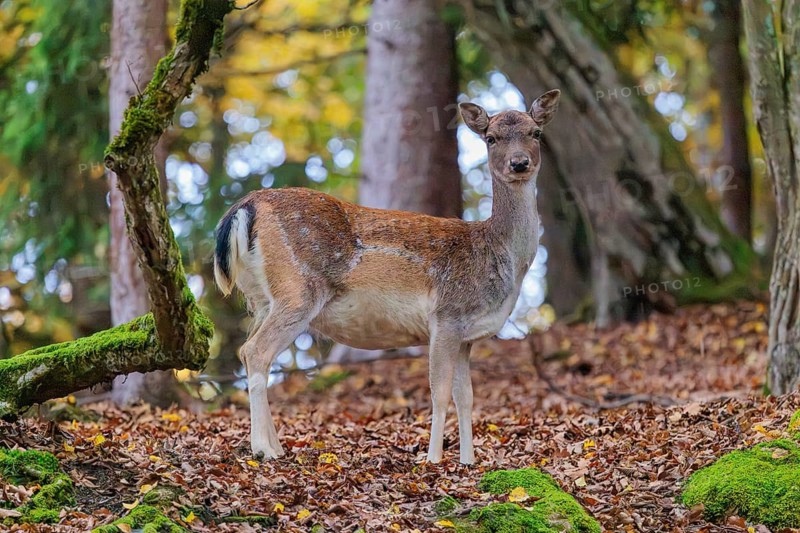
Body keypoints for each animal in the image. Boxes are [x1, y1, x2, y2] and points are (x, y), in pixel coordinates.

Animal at [214, 90, 561, 464]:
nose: (519, 163)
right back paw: (263, 449)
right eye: (491, 138)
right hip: (298, 291)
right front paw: (433, 460)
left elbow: (466, 397)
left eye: (535, 133)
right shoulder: (446, 315)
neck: (498, 257)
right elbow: (439, 392)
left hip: (263, 298)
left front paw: (467, 461)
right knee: (254, 351)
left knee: (251, 351)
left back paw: (276, 446)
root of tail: (245, 207)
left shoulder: (467, 335)